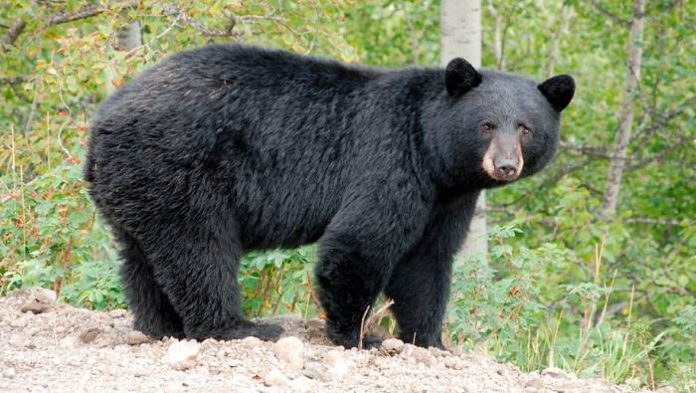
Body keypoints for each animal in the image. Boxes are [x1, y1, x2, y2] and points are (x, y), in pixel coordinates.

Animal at [84, 44, 572, 348]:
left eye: (526, 128)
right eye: (486, 124)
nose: (505, 165)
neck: (434, 154)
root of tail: (102, 122)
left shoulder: (446, 198)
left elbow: (426, 262)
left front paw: (429, 339)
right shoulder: (390, 160)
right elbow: (360, 241)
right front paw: (359, 335)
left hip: (137, 184)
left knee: (141, 257)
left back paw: (160, 325)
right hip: (180, 169)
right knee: (199, 249)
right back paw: (236, 327)